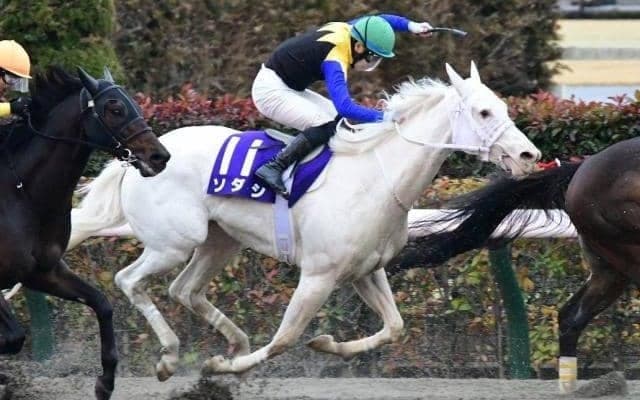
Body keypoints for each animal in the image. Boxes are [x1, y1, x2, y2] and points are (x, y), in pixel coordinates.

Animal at [0, 66, 170, 400]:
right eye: (115, 109)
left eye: (135, 103)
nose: (159, 156)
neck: (21, 193)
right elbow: (12, 337)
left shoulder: (42, 271)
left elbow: (102, 304)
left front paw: (105, 383)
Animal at [67, 62, 540, 380]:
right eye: (483, 113)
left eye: (501, 107)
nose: (529, 155)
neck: (376, 178)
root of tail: (139, 158)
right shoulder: (318, 275)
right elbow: (285, 338)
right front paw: (225, 366)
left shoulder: (365, 271)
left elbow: (394, 327)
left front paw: (328, 343)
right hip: (173, 243)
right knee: (130, 280)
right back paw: (169, 355)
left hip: (219, 240)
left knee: (184, 289)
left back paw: (233, 339)